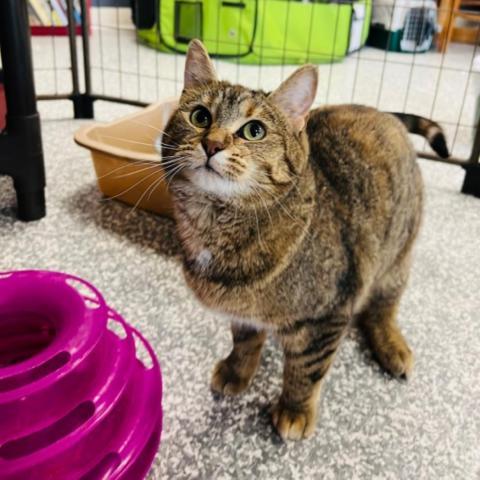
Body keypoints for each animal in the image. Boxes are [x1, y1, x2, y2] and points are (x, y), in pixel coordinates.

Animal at [159, 40, 448, 438]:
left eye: (254, 130)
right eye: (200, 117)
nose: (212, 143)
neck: (216, 225)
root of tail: (380, 111)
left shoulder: (325, 318)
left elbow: (305, 371)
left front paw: (294, 409)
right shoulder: (243, 313)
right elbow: (244, 341)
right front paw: (237, 371)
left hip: (396, 257)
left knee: (383, 307)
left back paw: (392, 345)